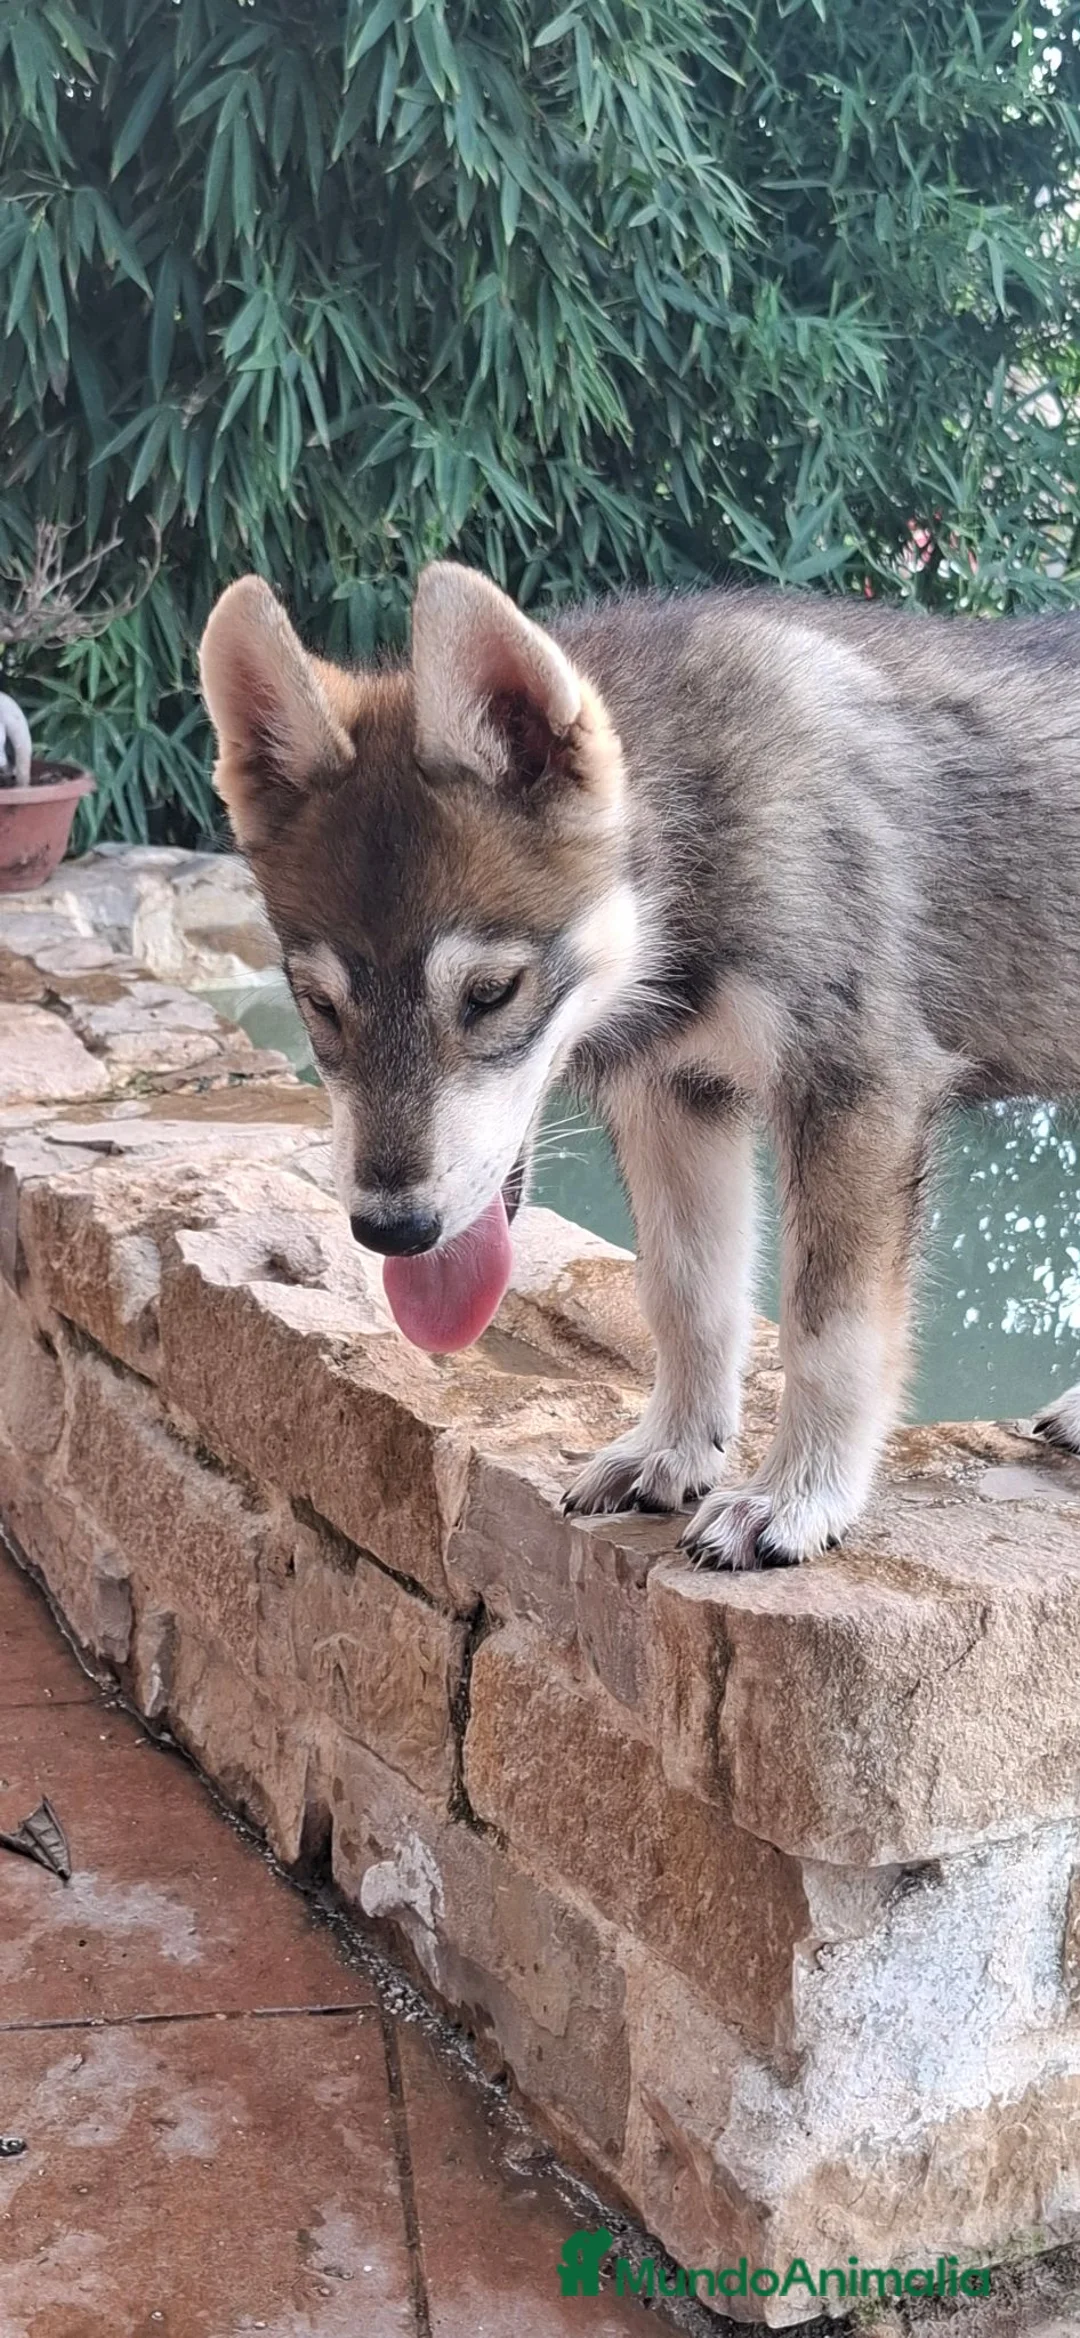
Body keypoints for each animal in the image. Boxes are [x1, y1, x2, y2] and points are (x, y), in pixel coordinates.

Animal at [199, 564, 1080, 1568]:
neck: (699, 836)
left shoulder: (858, 1090)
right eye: (320, 1007)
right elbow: (687, 1294)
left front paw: (798, 1497)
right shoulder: (673, 1095)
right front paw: (674, 1450)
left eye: (492, 993)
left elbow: (829, 1330)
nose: (392, 1232)